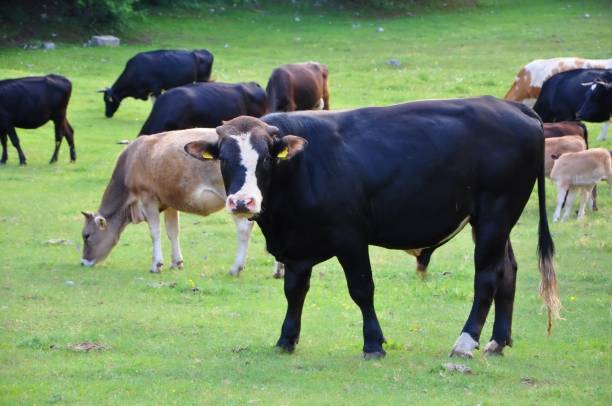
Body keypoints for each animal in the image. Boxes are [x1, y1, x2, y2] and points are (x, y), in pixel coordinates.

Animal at [79, 129, 256, 276]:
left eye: (86, 236)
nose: (83, 262)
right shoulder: (169, 202)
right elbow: (173, 231)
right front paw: (177, 262)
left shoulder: (147, 197)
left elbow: (155, 231)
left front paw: (156, 265)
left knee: (244, 228)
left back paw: (236, 267)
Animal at [183, 96, 560, 358]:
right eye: (224, 159)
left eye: (264, 158)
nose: (242, 202)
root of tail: (512, 107)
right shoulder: (296, 247)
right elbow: (294, 291)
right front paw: (286, 340)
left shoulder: (350, 237)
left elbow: (362, 289)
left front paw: (373, 343)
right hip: (495, 220)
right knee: (507, 270)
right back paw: (498, 341)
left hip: (495, 212)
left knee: (487, 276)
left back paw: (466, 342)